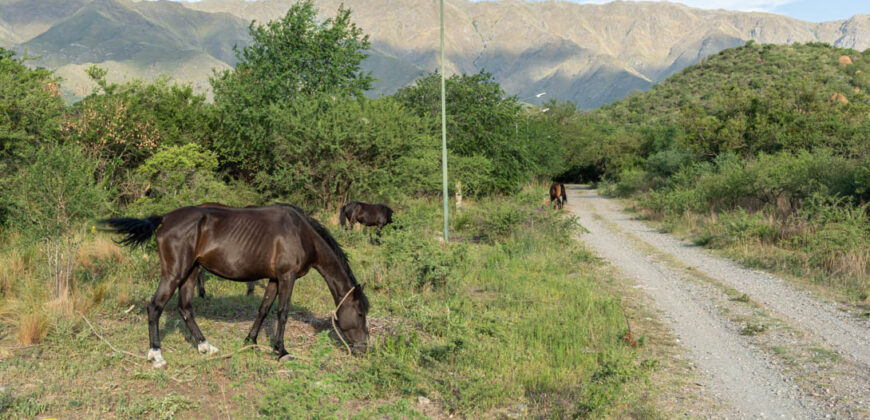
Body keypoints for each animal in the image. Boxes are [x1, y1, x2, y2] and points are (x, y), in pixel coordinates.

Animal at [99, 203, 372, 368]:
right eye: (360, 313)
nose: (364, 348)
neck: (301, 234)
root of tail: (164, 219)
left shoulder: (274, 279)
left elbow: (263, 309)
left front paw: (251, 341)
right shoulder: (287, 277)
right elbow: (282, 313)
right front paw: (281, 351)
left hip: (191, 272)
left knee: (185, 309)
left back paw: (205, 347)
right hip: (174, 273)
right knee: (155, 307)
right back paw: (156, 355)